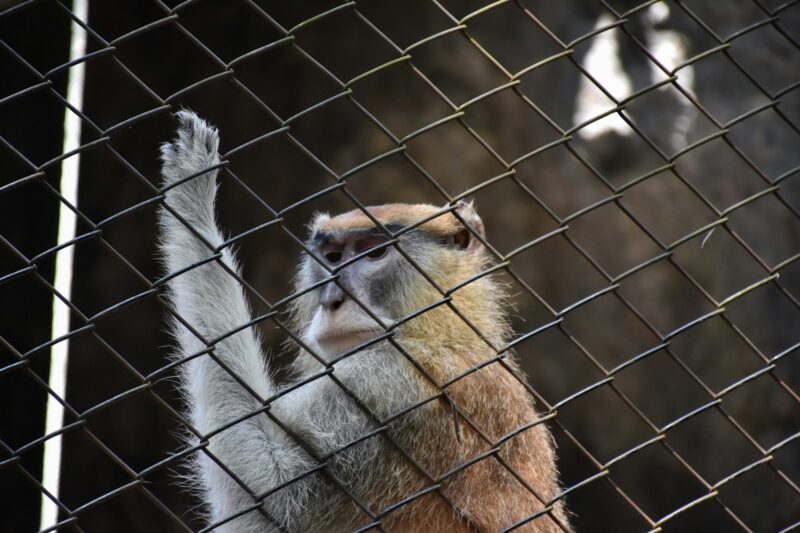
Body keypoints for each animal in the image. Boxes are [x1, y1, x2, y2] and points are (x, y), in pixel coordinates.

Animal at [158, 110, 568, 528]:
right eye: (333, 257)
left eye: (374, 253)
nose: (332, 300)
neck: (441, 330)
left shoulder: (384, 386)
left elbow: (268, 488)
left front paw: (191, 194)